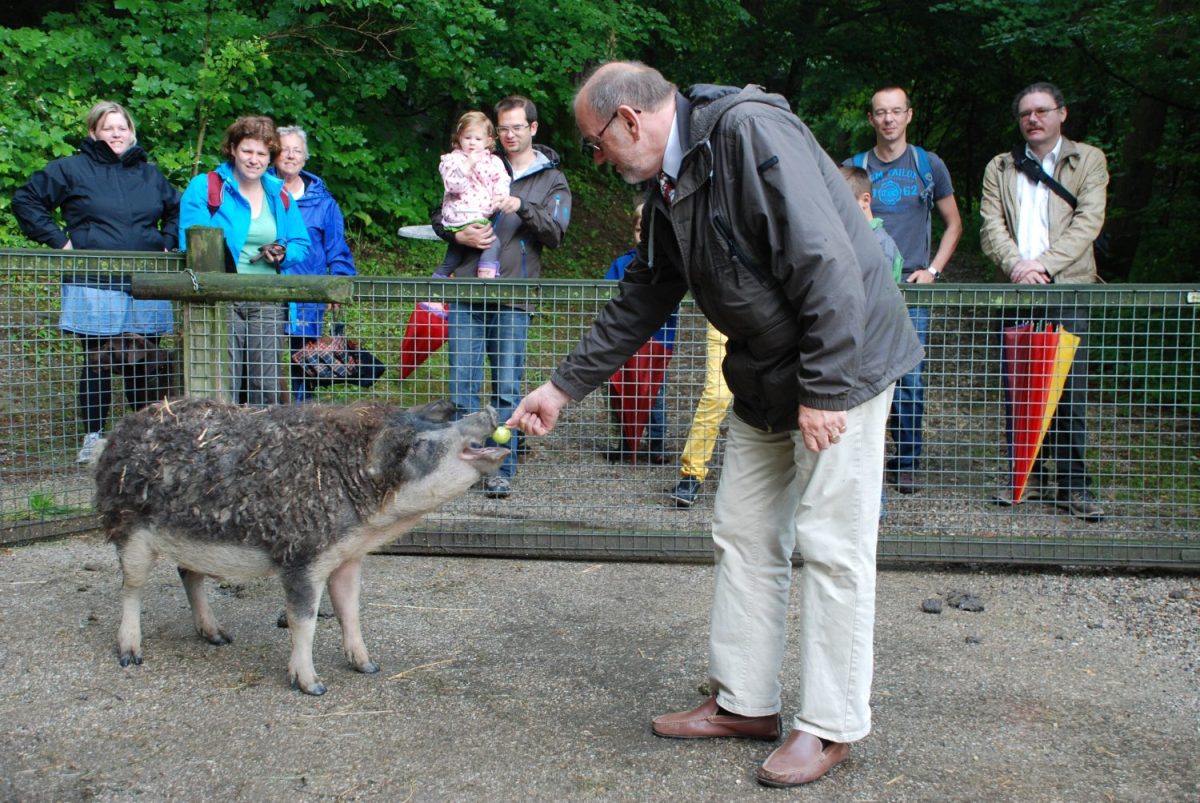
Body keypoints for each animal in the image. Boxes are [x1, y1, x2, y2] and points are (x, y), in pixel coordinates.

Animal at [92, 398, 506, 691]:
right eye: (419, 443)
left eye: (438, 424)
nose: (488, 410)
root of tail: (120, 432)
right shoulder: (301, 558)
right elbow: (303, 620)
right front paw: (313, 686)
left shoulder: (347, 556)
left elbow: (350, 609)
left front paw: (368, 666)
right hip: (128, 527)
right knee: (132, 587)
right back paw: (130, 656)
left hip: (192, 539)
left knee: (187, 574)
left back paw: (220, 638)